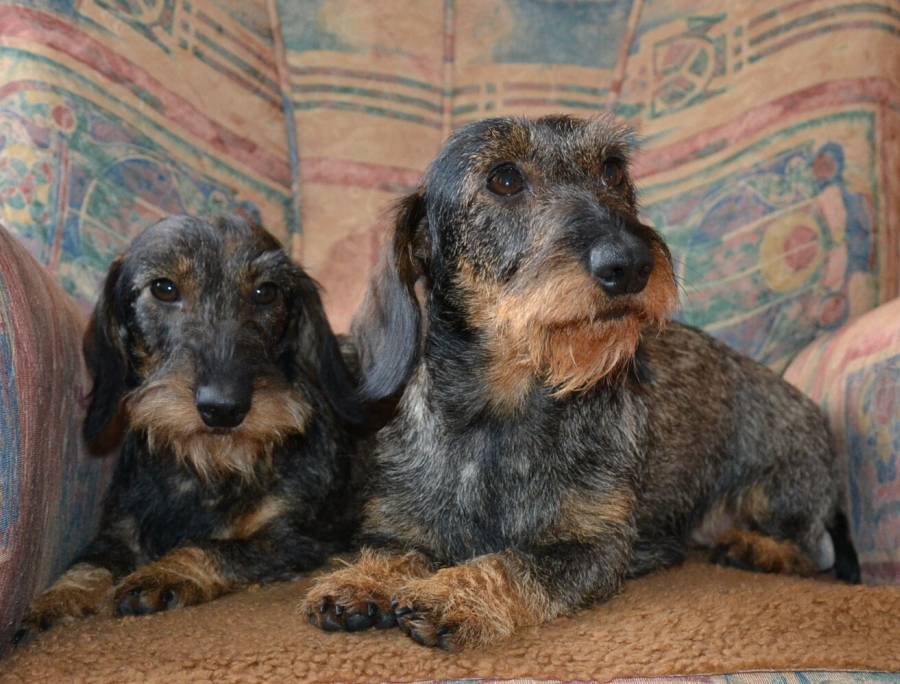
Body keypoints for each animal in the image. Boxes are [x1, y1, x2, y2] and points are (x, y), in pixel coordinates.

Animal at [16, 214, 362, 641]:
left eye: (266, 292)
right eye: (164, 288)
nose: (223, 408)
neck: (207, 467)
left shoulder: (302, 539)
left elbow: (212, 545)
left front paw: (164, 572)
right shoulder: (118, 530)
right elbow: (87, 563)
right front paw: (55, 599)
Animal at [302, 115, 860, 651]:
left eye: (612, 170)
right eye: (504, 178)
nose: (630, 263)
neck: (500, 417)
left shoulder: (594, 546)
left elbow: (512, 562)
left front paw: (453, 593)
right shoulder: (401, 522)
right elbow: (394, 550)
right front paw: (362, 579)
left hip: (777, 491)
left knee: (811, 551)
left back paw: (755, 548)